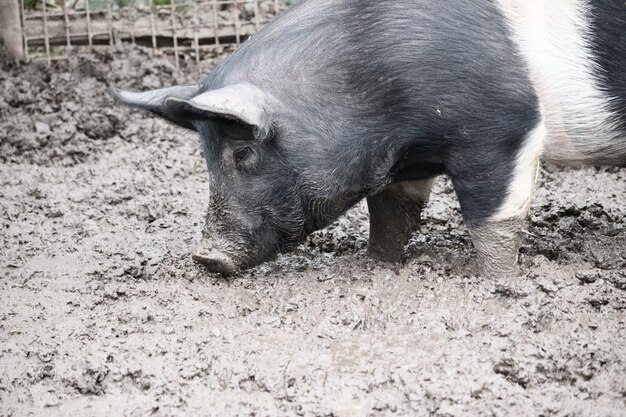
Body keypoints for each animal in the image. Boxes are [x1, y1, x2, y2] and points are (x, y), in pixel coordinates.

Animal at [109, 0, 620, 276]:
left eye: (243, 151)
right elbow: (392, 215)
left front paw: (500, 284)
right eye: (205, 156)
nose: (206, 256)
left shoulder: (501, 128)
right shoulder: (406, 160)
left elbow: (493, 218)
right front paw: (374, 265)